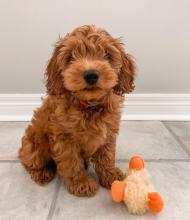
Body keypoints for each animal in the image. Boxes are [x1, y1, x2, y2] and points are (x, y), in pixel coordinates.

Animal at [18, 24, 135, 197]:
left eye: (107, 54)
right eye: (70, 57)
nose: (91, 74)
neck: (90, 106)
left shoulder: (108, 133)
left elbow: (107, 157)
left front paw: (111, 176)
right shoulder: (64, 138)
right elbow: (72, 162)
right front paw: (81, 183)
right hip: (34, 146)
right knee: (29, 161)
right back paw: (42, 173)